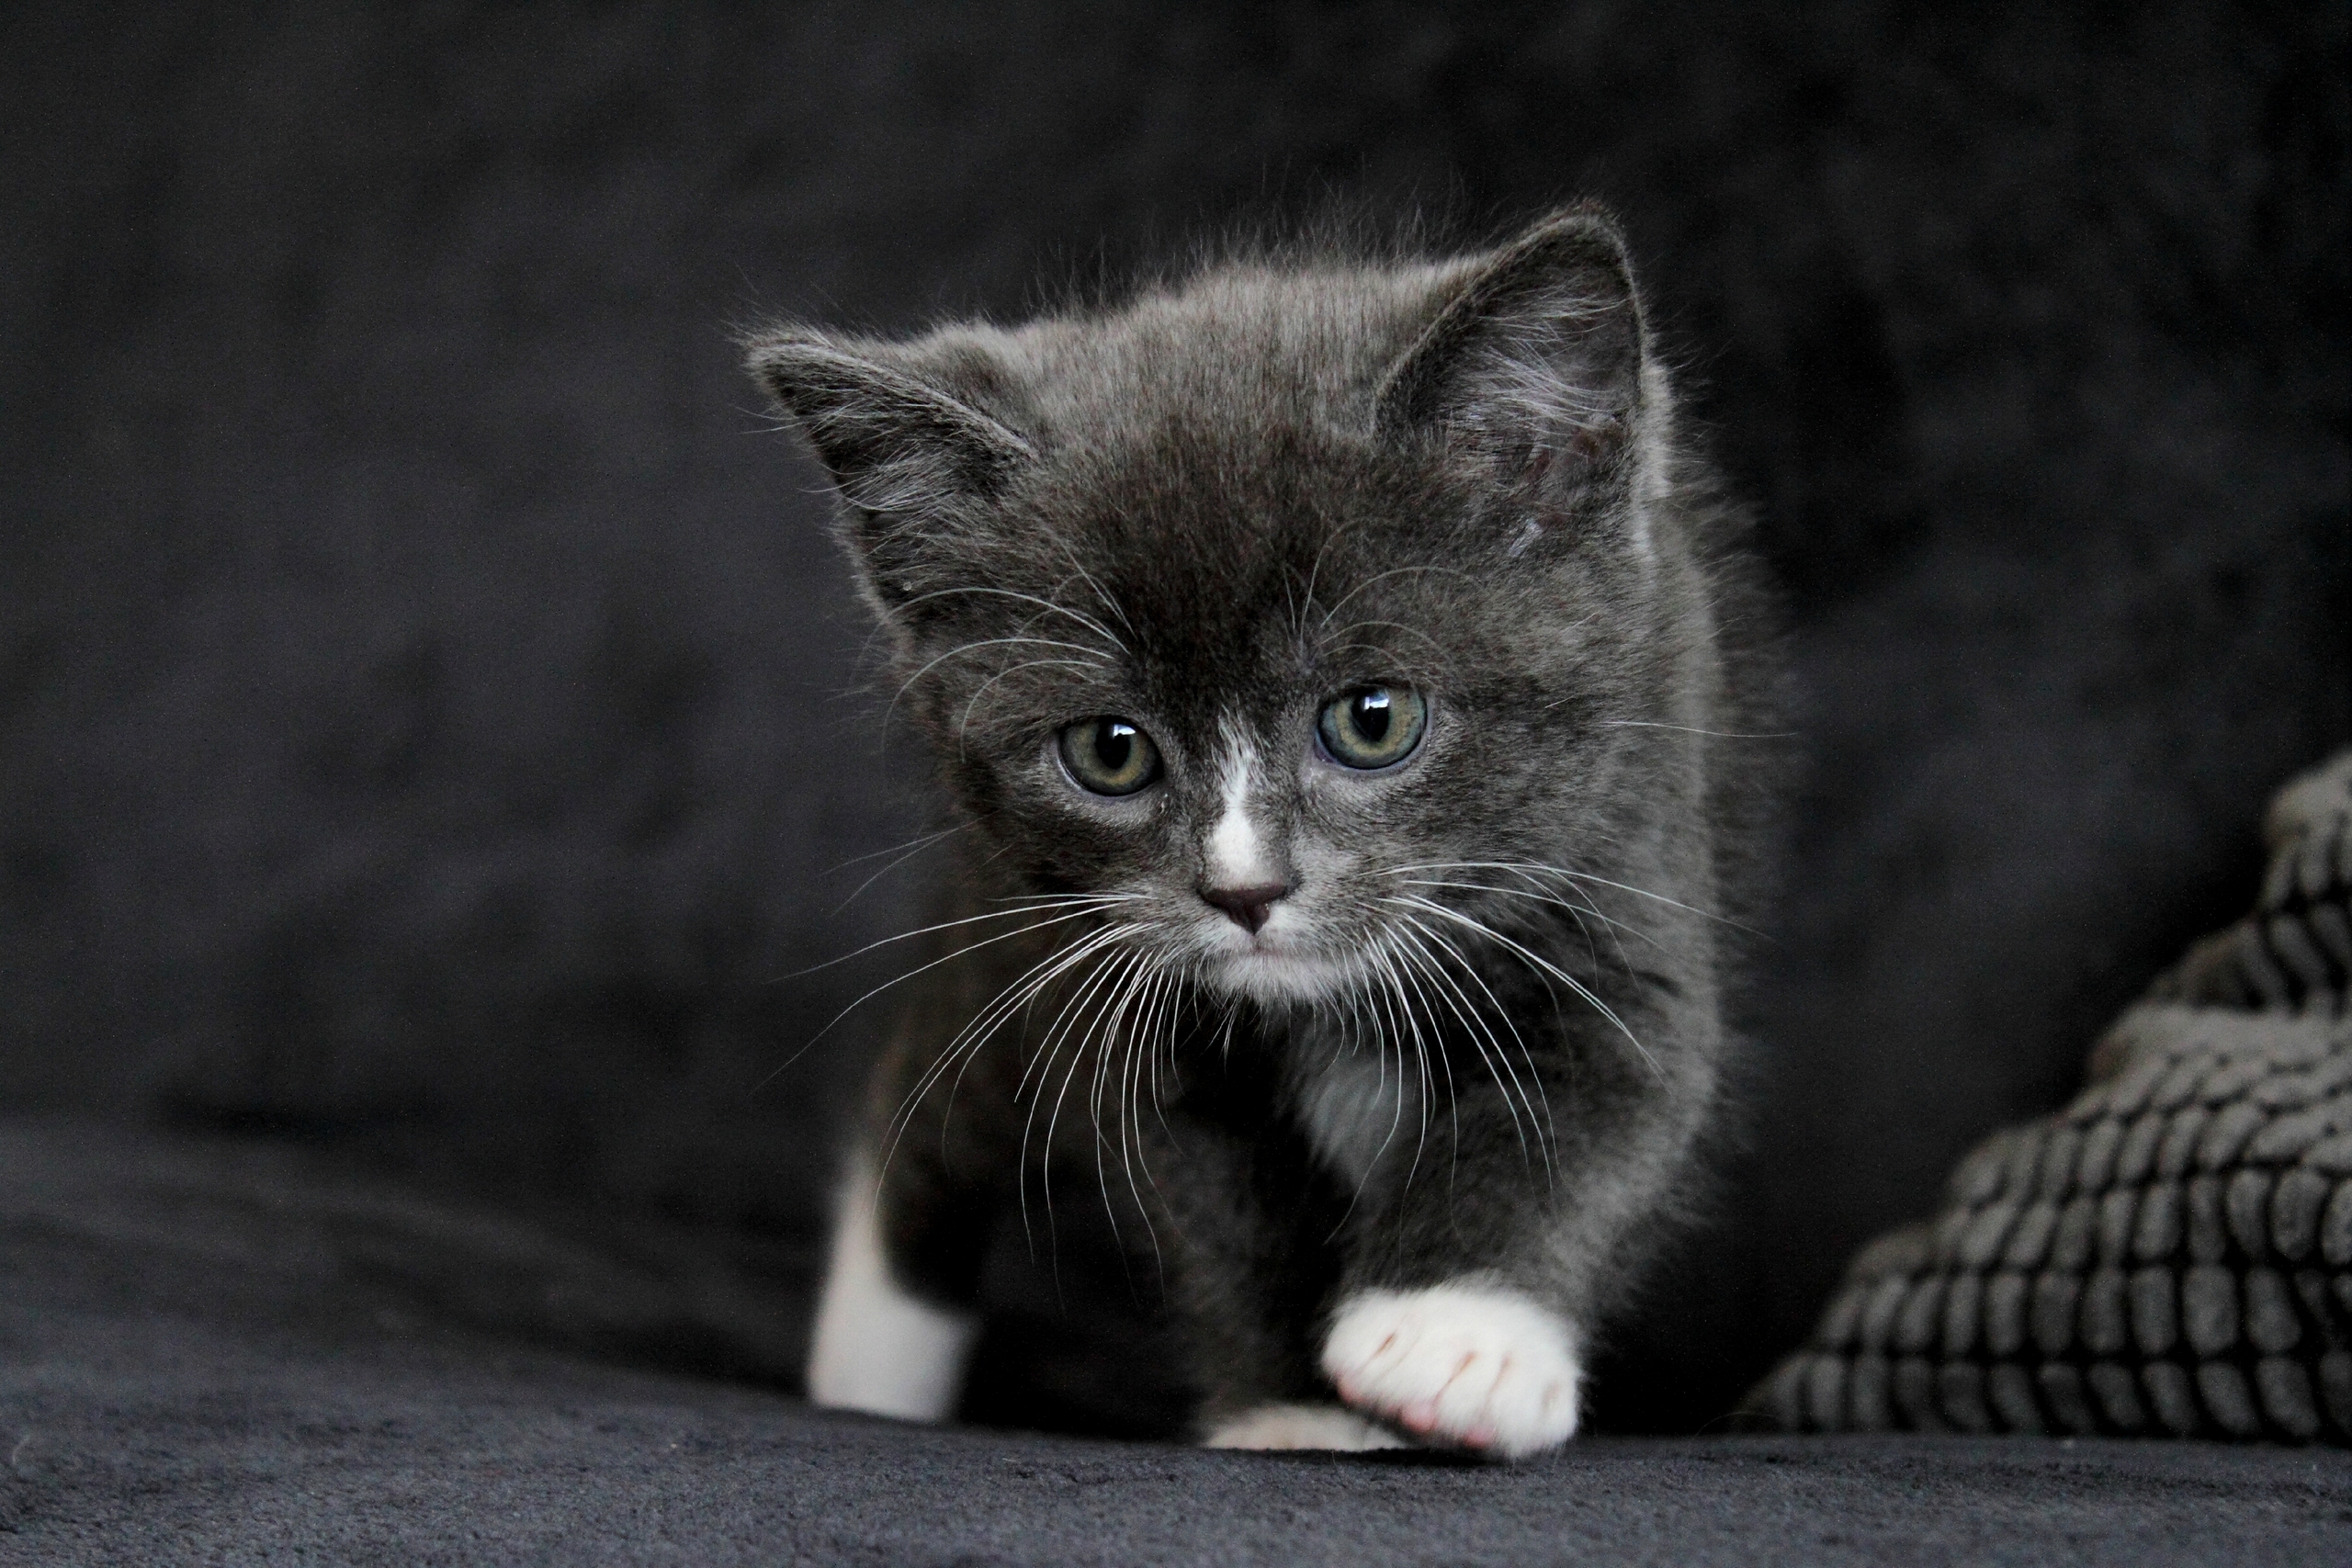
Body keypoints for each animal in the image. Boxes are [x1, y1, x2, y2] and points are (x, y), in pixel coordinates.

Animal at [742, 208, 1769, 1457]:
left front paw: (1457, 1338)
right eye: (1110, 751)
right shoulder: (1126, 999)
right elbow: (1219, 1202)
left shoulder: (1626, 830)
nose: (1243, 890)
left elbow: (1607, 1090)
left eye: (1374, 720)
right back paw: (870, 1363)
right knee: (930, 1112)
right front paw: (1294, 1416)